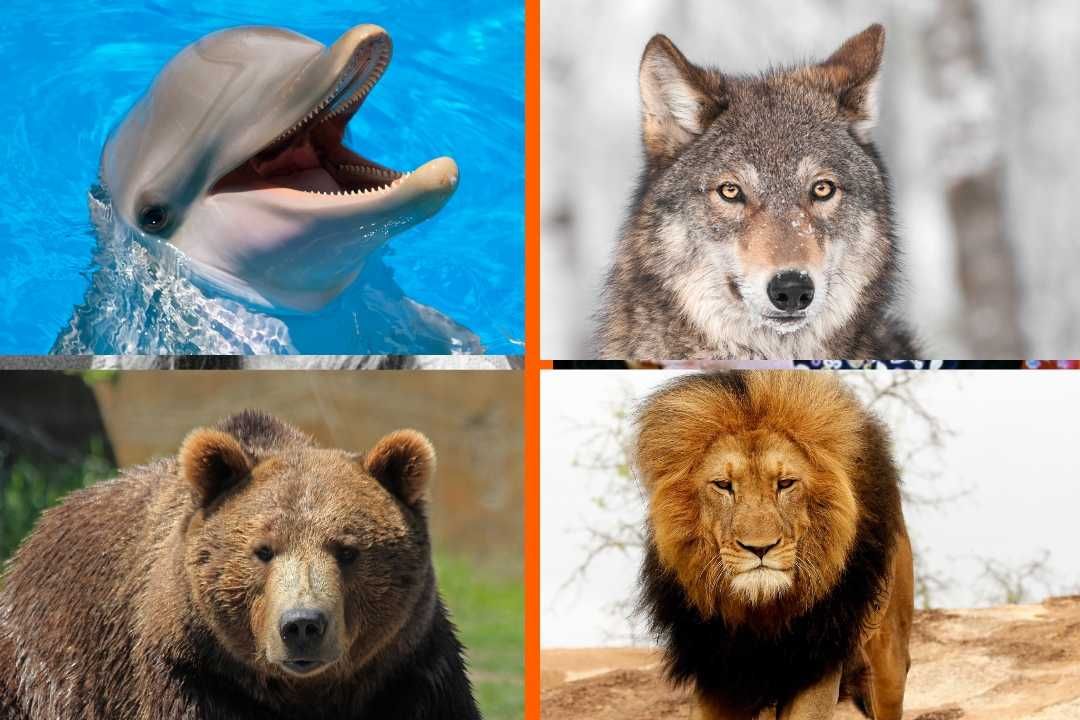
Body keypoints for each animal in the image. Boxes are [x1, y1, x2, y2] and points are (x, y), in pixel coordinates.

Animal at [0, 410, 481, 720]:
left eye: (347, 550)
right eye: (263, 550)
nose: (303, 625)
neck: (308, 694)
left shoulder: (409, 672)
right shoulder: (194, 677)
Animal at [635, 371, 913, 720]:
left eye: (785, 483)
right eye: (723, 485)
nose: (759, 548)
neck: (763, 612)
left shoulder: (818, 660)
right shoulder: (717, 670)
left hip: (888, 660)